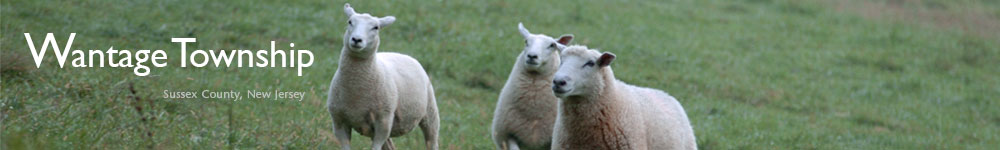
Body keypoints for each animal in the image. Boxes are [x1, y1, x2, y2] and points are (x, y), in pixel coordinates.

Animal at [328, 3, 438, 150]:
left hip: (430, 112)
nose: (356, 39)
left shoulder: (383, 122)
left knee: (432, 139)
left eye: (376, 27)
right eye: (350, 22)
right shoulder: (339, 121)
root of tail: (401, 54)